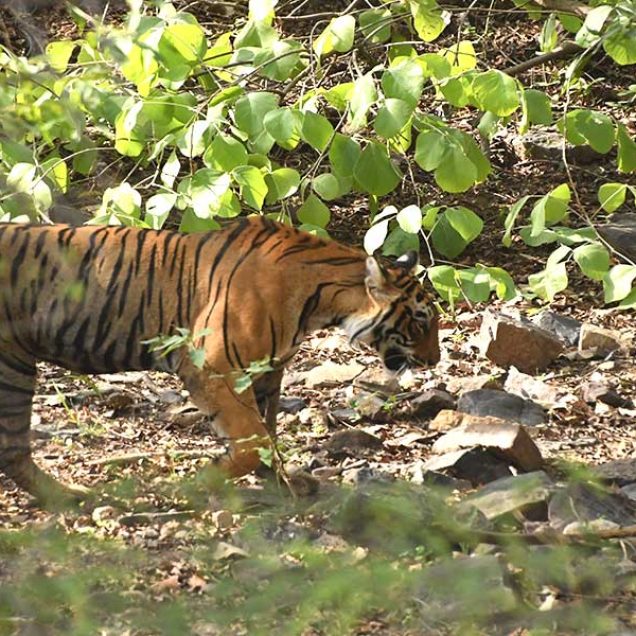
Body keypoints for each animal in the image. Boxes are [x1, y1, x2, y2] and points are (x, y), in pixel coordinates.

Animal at [0, 215, 440, 506]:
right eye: (421, 320)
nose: (435, 359)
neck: (320, 300)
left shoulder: (266, 371)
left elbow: (267, 432)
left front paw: (283, 483)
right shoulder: (211, 365)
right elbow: (251, 438)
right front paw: (196, 482)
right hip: (14, 367)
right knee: (12, 446)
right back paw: (70, 496)